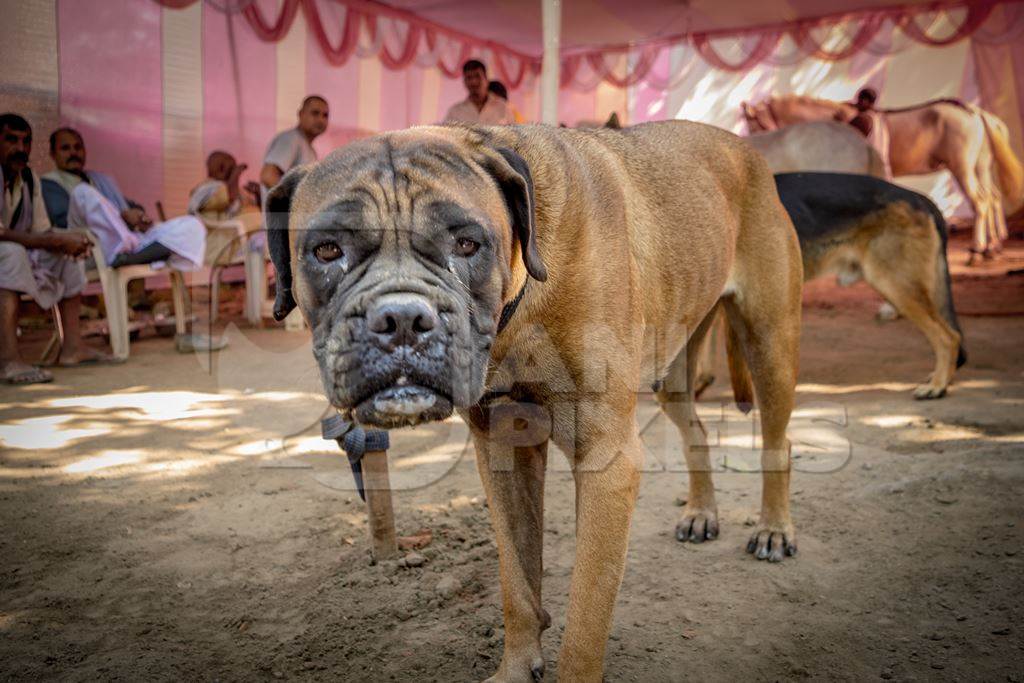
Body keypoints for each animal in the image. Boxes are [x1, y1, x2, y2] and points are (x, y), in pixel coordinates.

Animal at [268, 124, 802, 683]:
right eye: (327, 250)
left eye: (467, 244)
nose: (402, 320)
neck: (520, 307)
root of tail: (743, 148)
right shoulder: (503, 451)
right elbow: (517, 580)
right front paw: (518, 665)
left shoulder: (607, 460)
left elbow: (587, 612)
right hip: (675, 373)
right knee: (695, 429)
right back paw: (701, 512)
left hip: (769, 344)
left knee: (778, 443)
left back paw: (773, 529)